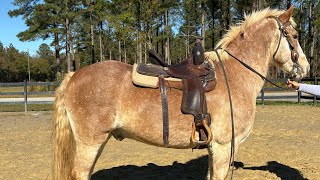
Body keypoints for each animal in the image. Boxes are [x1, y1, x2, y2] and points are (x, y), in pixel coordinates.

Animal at [53, 5, 310, 180]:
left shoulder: (214, 147)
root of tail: (73, 76)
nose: (306, 67)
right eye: (295, 36)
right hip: (90, 142)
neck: (235, 75)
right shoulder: (224, 146)